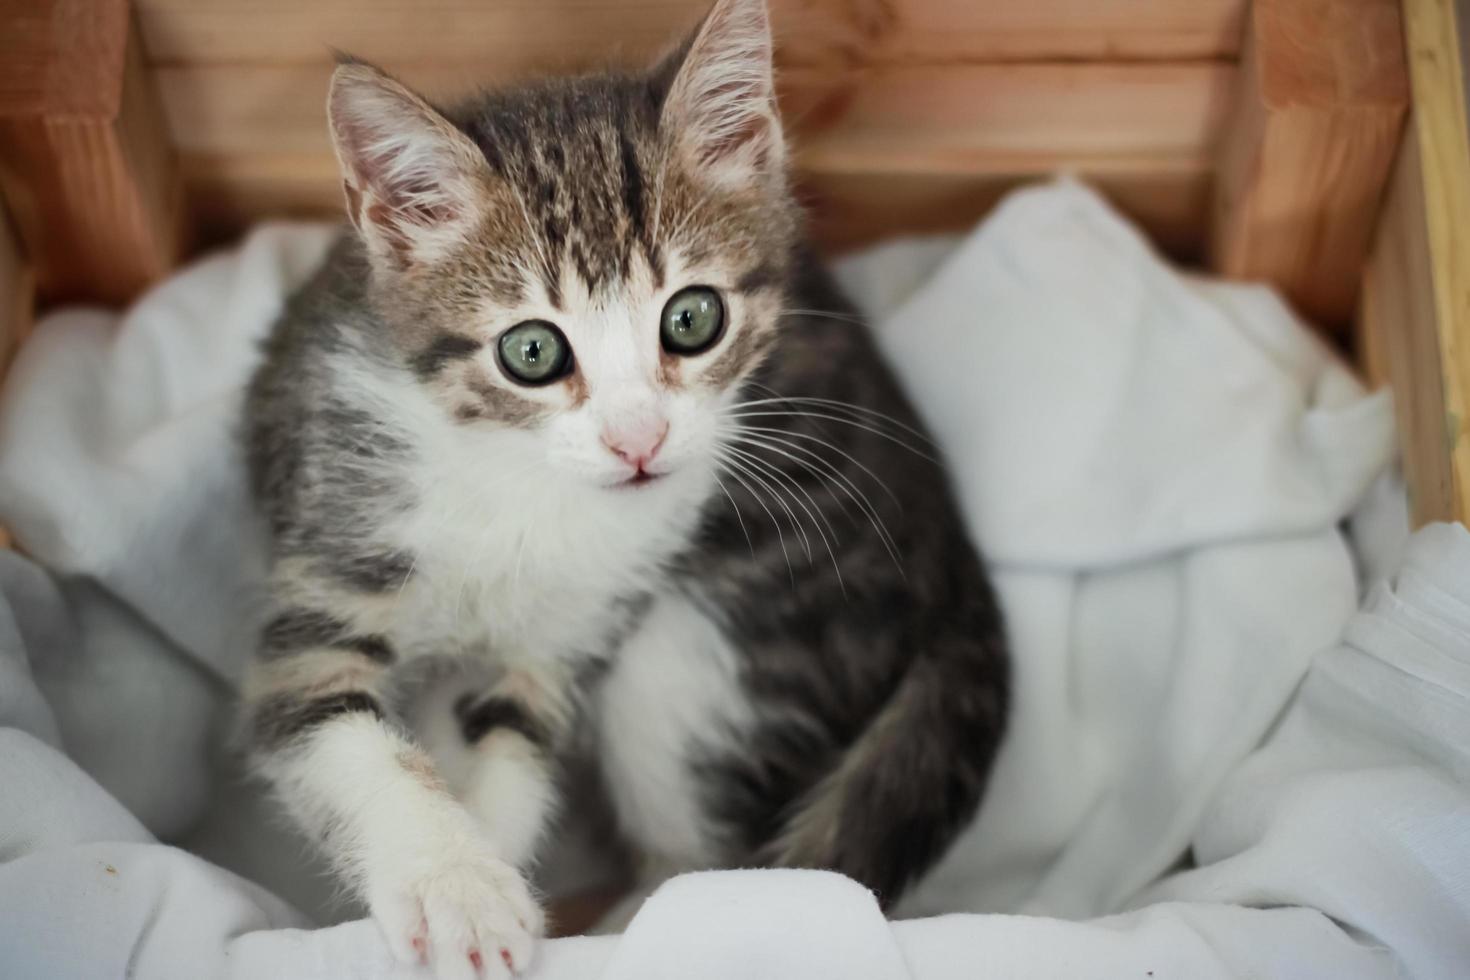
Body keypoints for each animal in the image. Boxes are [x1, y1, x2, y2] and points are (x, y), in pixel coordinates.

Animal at [244, 0, 1011, 975]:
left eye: (692, 318)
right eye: (532, 351)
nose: (638, 440)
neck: (521, 483)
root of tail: (959, 568)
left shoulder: (573, 632)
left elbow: (514, 745)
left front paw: (494, 884)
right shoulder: (335, 536)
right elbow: (343, 732)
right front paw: (457, 884)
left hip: (705, 633)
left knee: (707, 868)